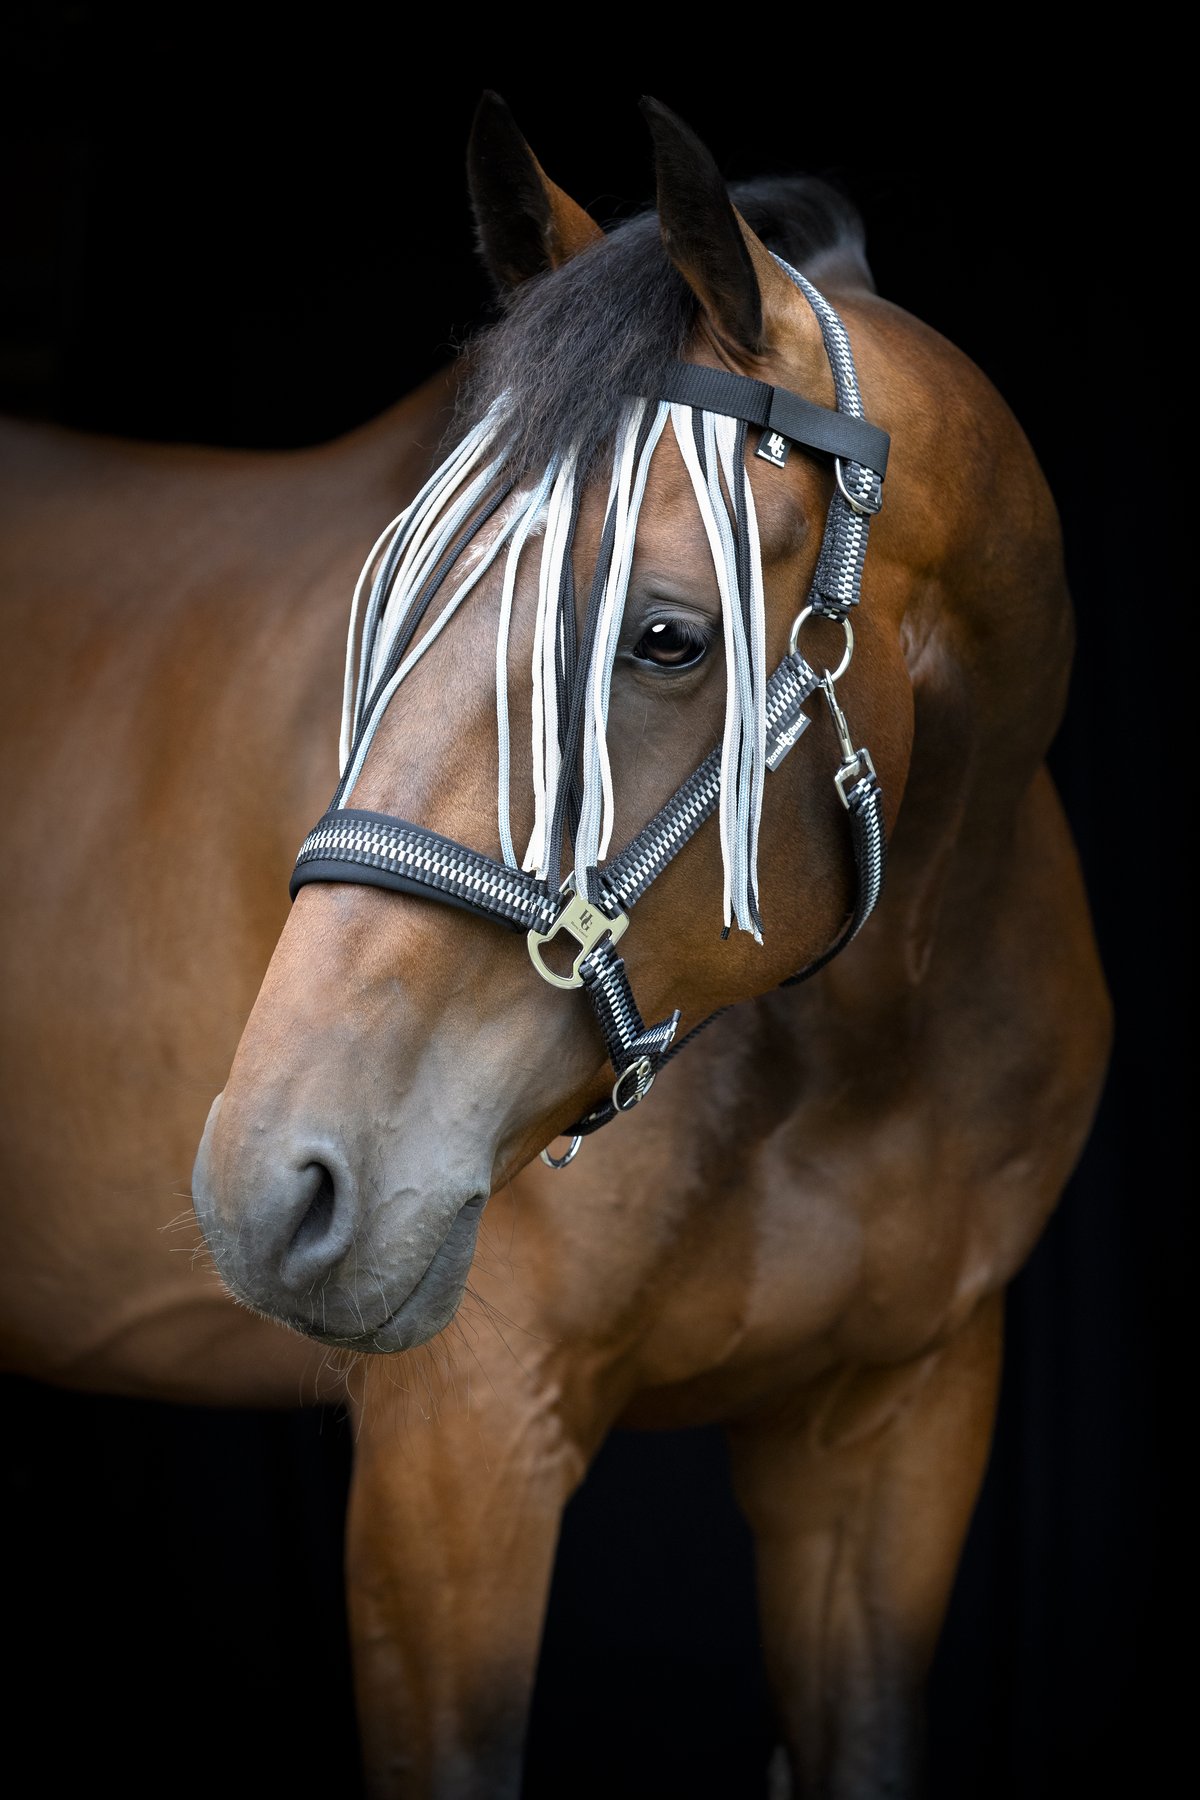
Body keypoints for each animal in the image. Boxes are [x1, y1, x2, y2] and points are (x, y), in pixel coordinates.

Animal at [0, 92, 1111, 1799]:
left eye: (666, 636)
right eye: (381, 606)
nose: (270, 1184)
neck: (856, 1052)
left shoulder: (894, 1442)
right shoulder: (459, 1466)